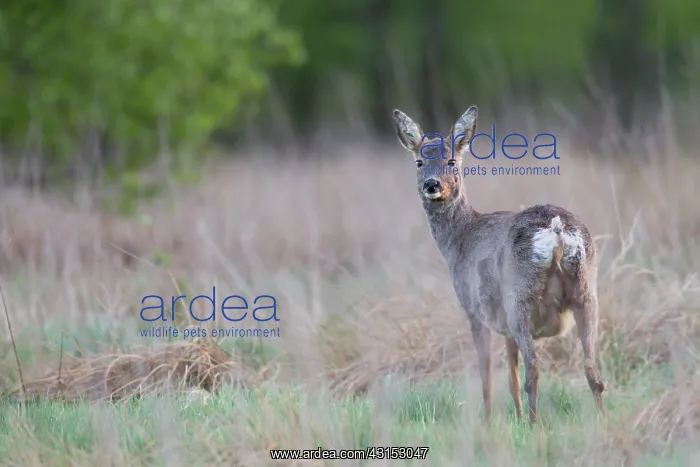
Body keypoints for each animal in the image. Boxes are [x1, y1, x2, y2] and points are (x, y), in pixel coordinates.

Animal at [392, 106, 606, 424]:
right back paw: (601, 420)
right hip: (586, 292)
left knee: (534, 366)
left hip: (519, 299)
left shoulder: (474, 309)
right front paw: (513, 417)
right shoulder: (503, 325)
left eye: (451, 160)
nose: (432, 185)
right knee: (591, 368)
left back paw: (534, 425)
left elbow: (488, 375)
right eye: (419, 161)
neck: (458, 239)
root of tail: (556, 230)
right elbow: (511, 378)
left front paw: (488, 421)